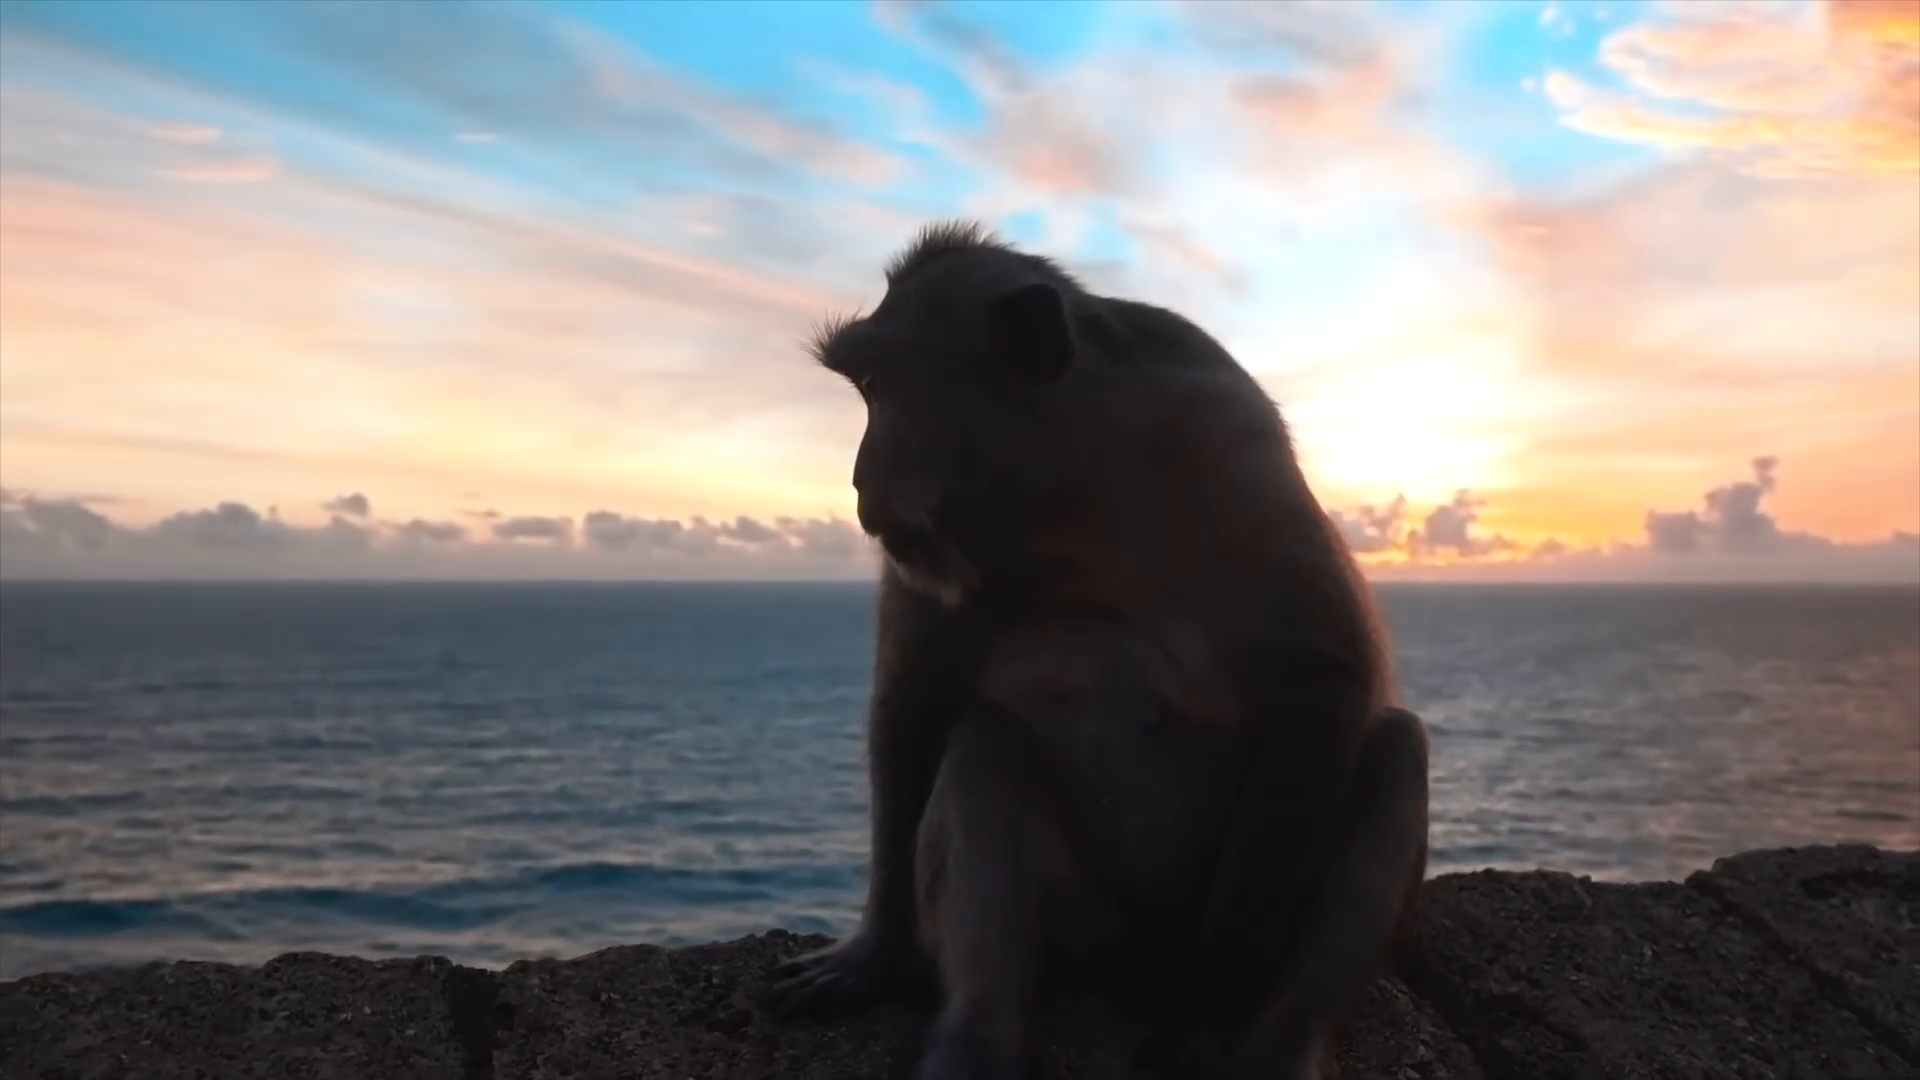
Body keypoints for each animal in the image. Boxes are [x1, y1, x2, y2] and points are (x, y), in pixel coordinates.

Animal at [756, 220, 1436, 1076]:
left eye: (877, 387)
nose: (857, 480)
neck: (1074, 482)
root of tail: (1135, 963)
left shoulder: (1227, 436)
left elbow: (1323, 675)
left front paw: (1213, 1010)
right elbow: (918, 698)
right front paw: (877, 953)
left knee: (1394, 749)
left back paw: (1281, 1040)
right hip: (1087, 924)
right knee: (985, 744)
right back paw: (976, 1039)